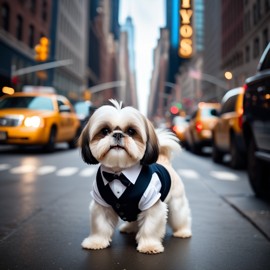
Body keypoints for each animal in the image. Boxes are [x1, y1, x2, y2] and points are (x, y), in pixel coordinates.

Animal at [78, 100, 192, 254]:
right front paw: (96, 242)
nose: (118, 134)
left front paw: (149, 245)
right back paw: (129, 228)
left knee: (180, 216)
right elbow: (100, 225)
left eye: (131, 131)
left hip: (176, 204)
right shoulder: (101, 205)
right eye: (105, 131)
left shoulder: (152, 205)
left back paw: (183, 231)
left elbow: (150, 227)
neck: (119, 174)